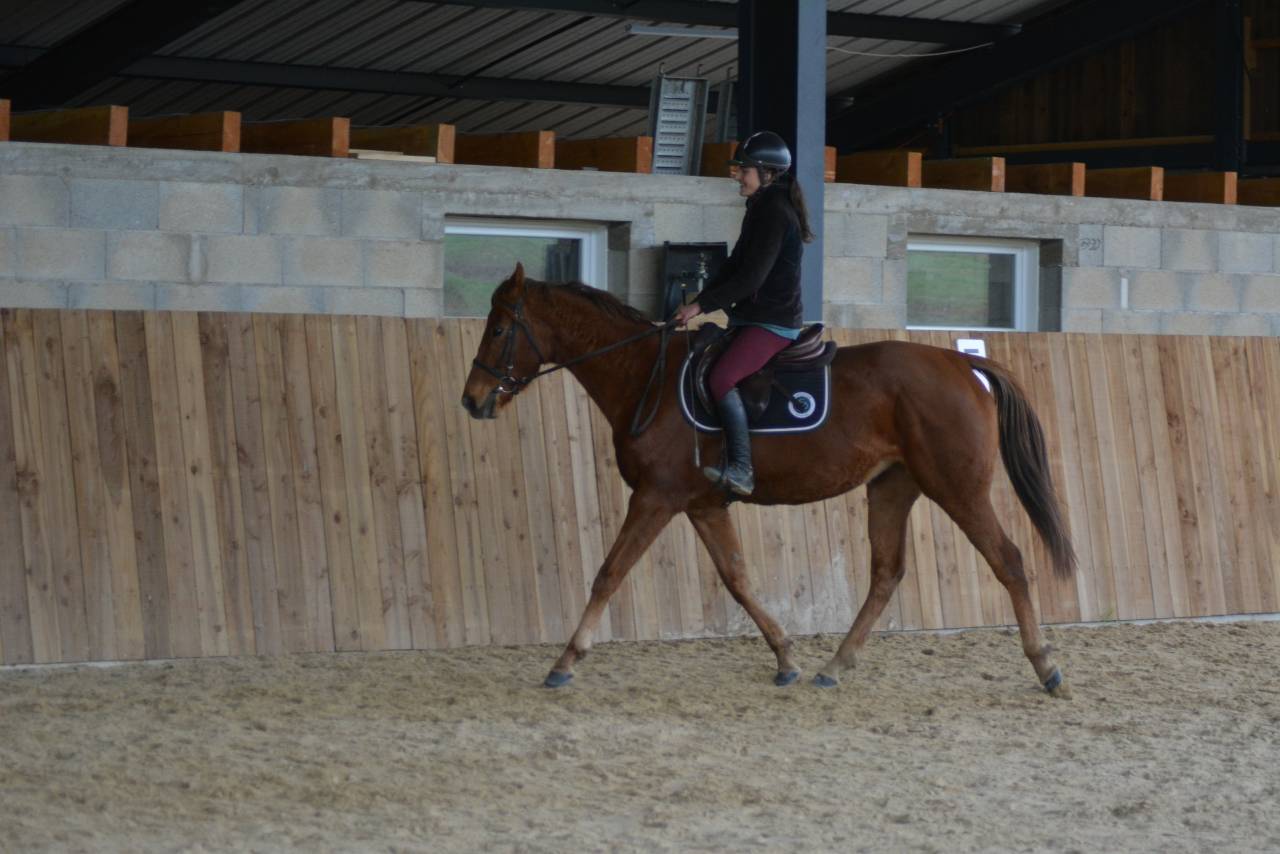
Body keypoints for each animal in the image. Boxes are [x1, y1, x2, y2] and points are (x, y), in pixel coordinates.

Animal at [461, 264, 1076, 696]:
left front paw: (564, 662)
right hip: (892, 486)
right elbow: (737, 578)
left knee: (1008, 561)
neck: (643, 376)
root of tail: (964, 365)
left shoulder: (655, 498)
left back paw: (1046, 665)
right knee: (886, 573)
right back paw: (835, 665)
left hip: (957, 488)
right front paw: (785, 657)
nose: (472, 400)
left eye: (499, 328)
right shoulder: (703, 505)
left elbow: (609, 573)